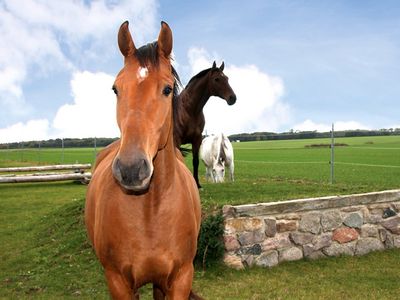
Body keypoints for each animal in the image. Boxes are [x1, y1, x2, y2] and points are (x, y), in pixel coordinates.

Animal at [85, 19, 202, 298]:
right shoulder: (118, 282)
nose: (131, 169)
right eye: (116, 89)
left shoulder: (181, 278)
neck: (150, 212)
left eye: (167, 89)